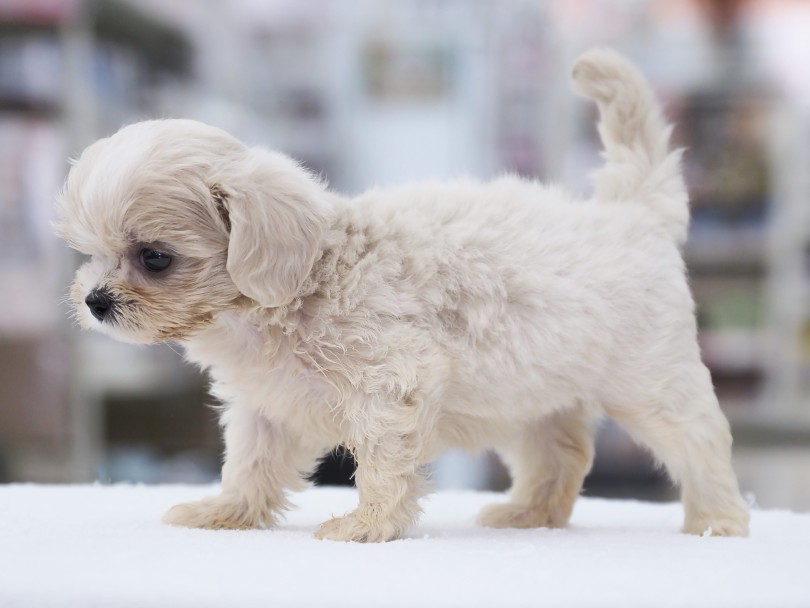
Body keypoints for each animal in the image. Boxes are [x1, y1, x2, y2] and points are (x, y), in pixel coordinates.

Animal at [56, 48, 752, 540]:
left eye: (155, 258)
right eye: (89, 255)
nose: (94, 301)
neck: (306, 279)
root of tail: (631, 213)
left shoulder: (390, 384)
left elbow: (383, 463)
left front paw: (368, 525)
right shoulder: (264, 407)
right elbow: (250, 462)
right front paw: (227, 512)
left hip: (651, 381)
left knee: (701, 439)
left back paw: (718, 519)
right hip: (532, 393)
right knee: (562, 452)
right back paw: (529, 515)